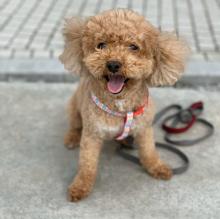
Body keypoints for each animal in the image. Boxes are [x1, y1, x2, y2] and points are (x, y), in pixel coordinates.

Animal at [59, 8, 189, 201]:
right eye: (101, 45)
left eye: (133, 47)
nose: (113, 64)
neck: (120, 103)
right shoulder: (92, 134)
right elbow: (87, 163)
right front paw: (80, 186)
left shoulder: (144, 129)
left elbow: (149, 152)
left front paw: (157, 168)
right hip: (74, 108)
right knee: (75, 125)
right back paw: (72, 138)